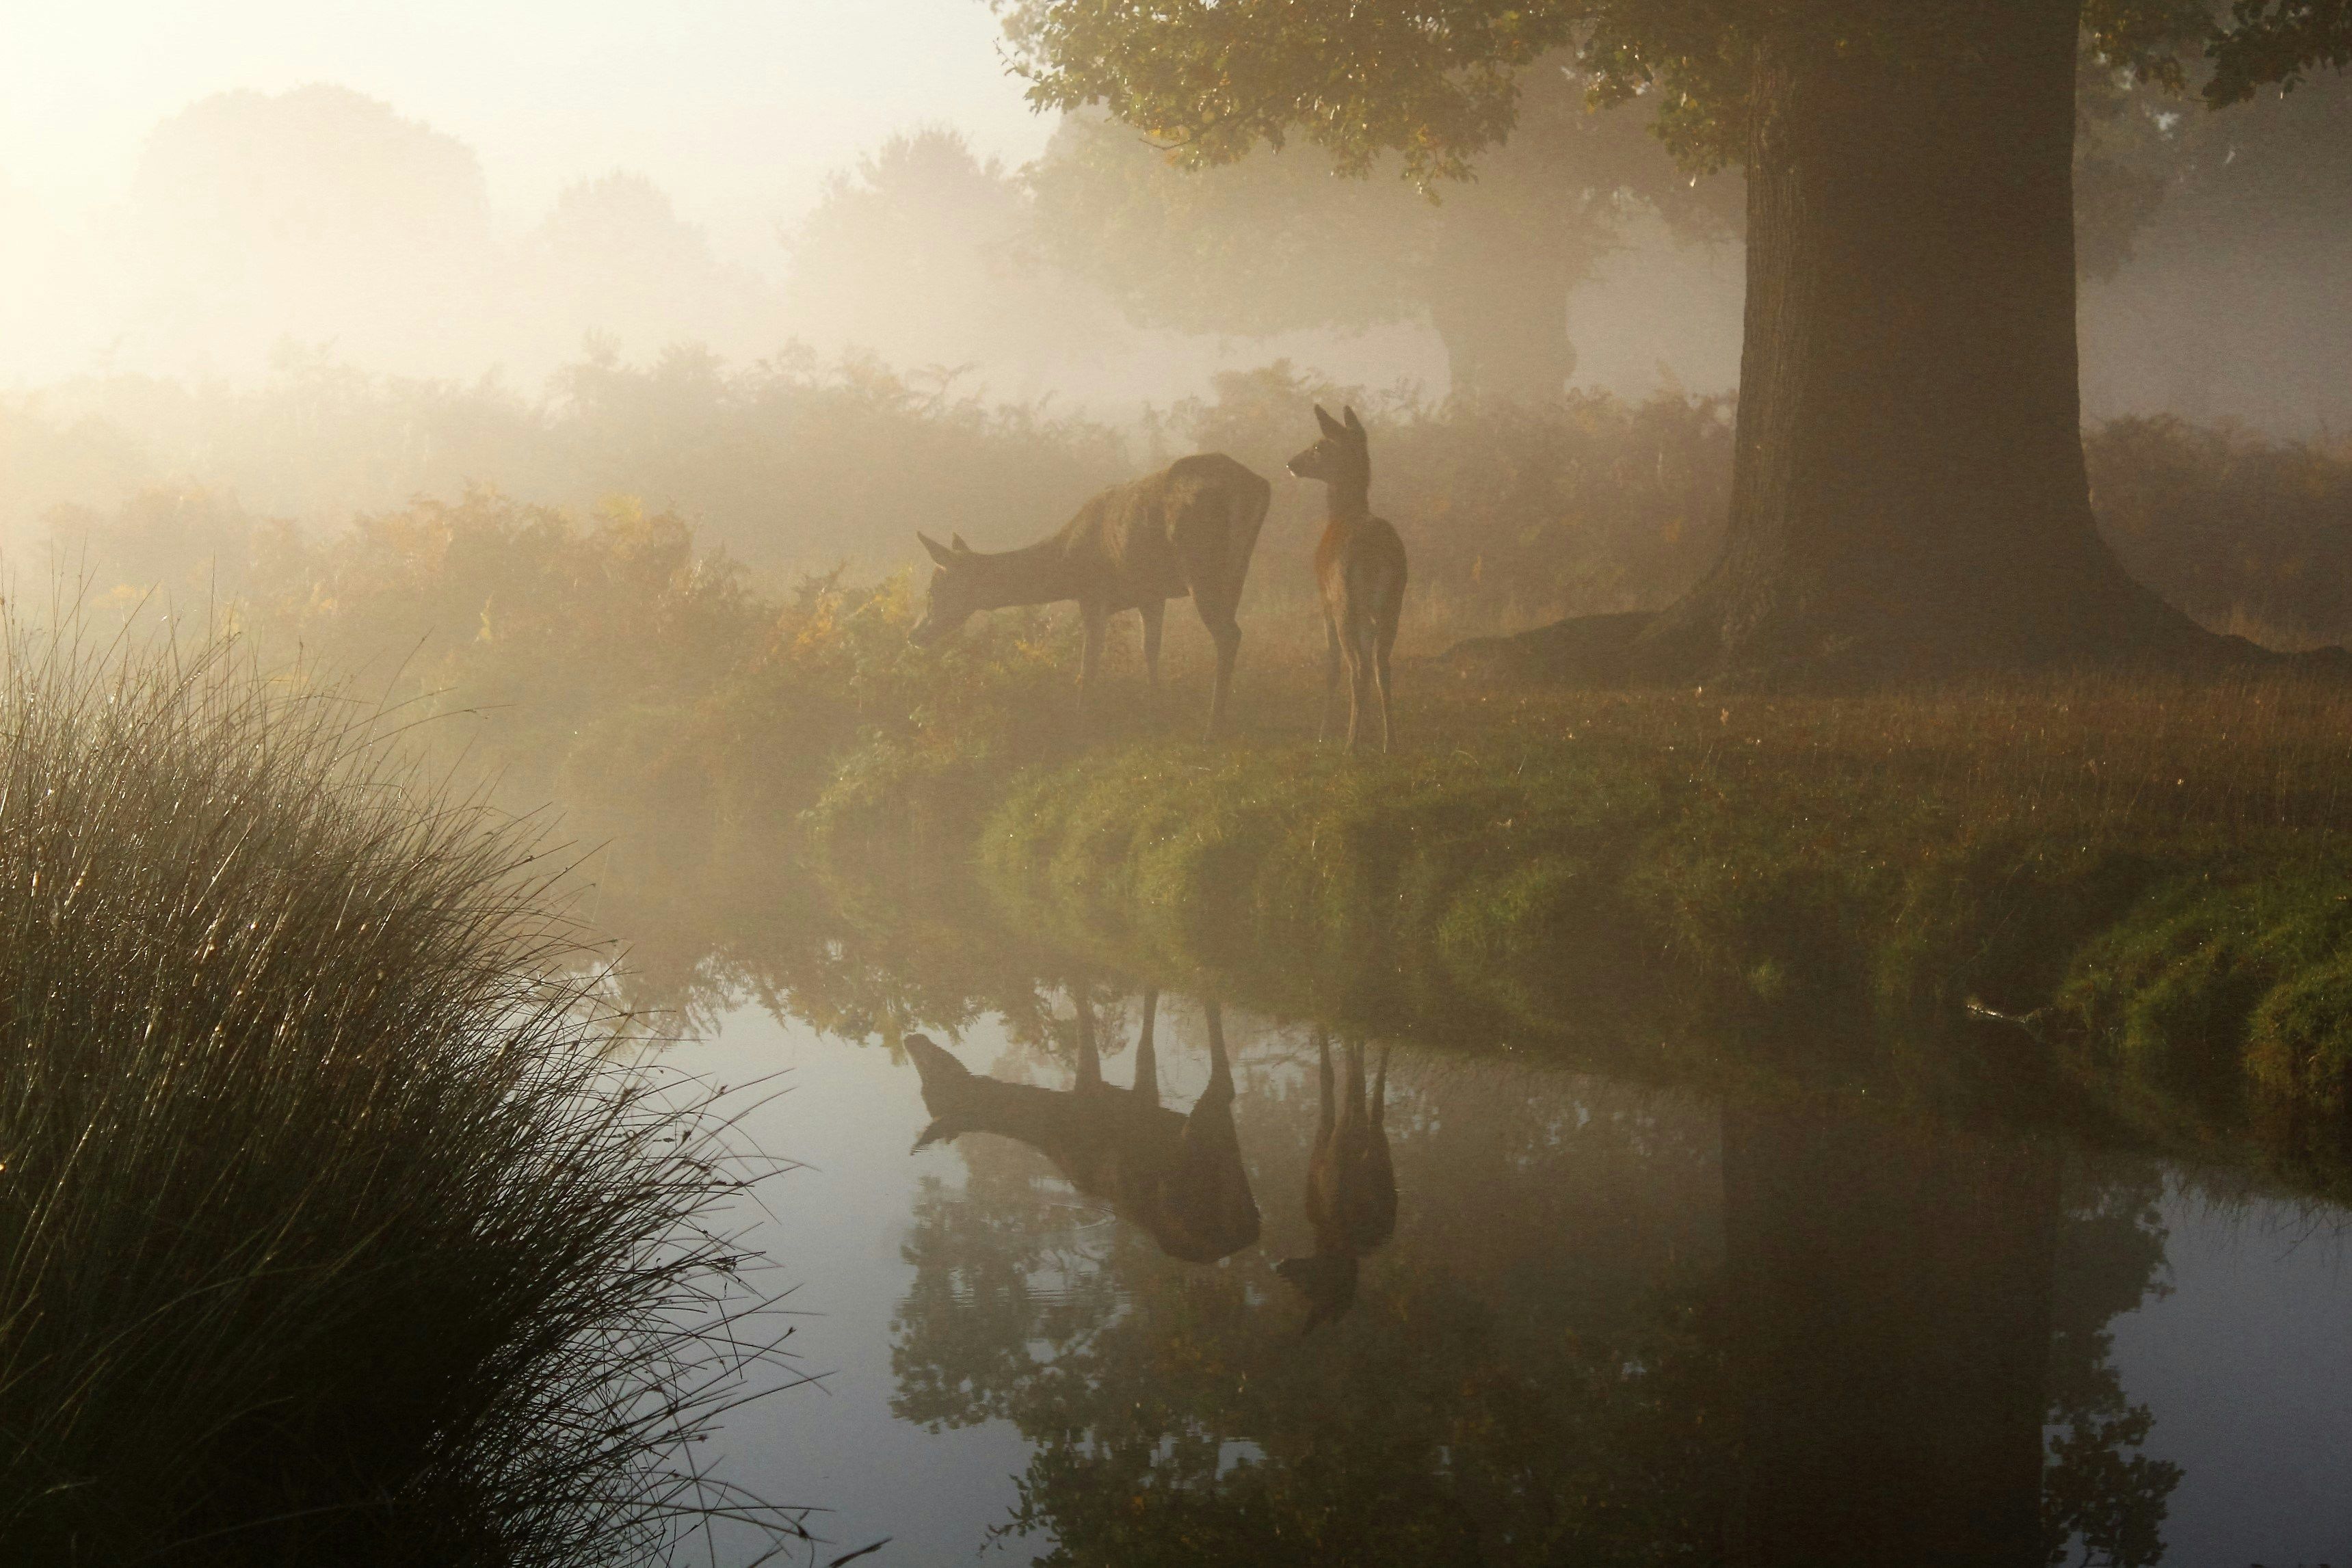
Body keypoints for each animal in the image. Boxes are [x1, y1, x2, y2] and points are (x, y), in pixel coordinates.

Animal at [903, 455, 1270, 747]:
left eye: (932, 591)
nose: (915, 633)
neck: (1066, 568)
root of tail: (1256, 486)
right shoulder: (1150, 594)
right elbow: (1150, 650)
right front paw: (1156, 712)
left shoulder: (1093, 595)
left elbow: (1088, 665)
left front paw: (1079, 729)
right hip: (1238, 567)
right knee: (1231, 632)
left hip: (1199, 563)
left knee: (1228, 634)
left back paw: (1213, 729)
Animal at [903, 1001, 1270, 1269]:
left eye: (933, 1080)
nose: (911, 1039)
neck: (1055, 1119)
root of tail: (1251, 1229)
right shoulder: (1141, 1101)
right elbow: (1144, 1043)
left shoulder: (1095, 1090)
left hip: (1199, 1145)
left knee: (1224, 1084)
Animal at [1298, 401, 1401, 752]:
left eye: (1319, 446)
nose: (1292, 463)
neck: (1342, 514)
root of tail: (1377, 553)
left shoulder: (1324, 600)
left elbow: (1331, 667)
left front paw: (1322, 733)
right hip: (1394, 601)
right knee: (1381, 664)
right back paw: (1388, 742)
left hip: (1345, 600)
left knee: (1357, 667)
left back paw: (1351, 746)